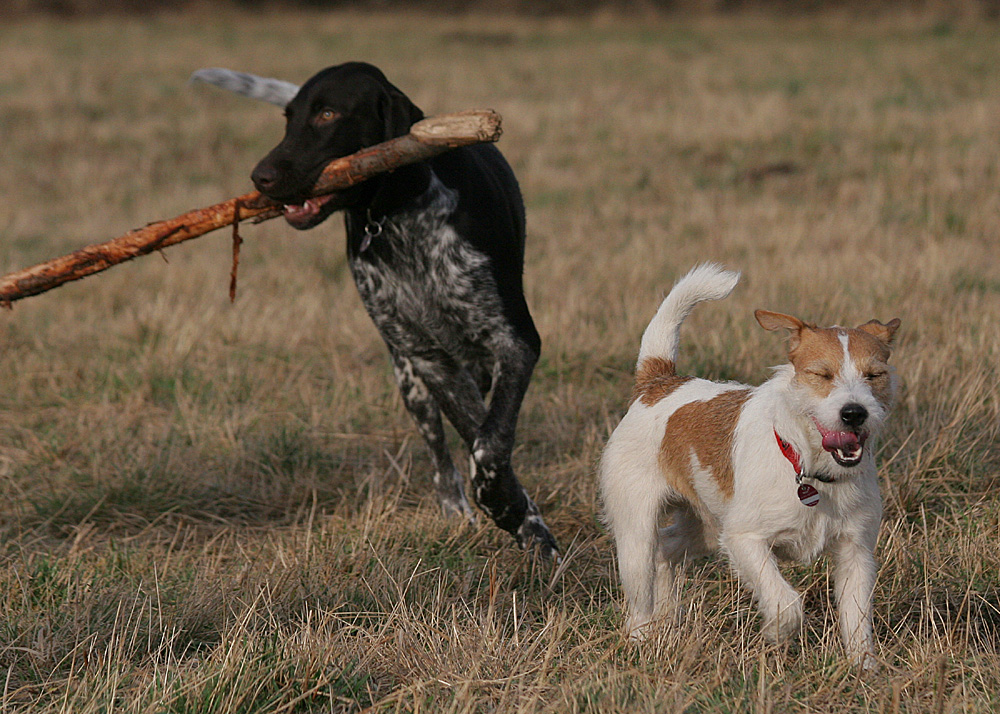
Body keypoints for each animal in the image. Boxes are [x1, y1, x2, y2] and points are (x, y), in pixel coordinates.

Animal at [191, 62, 560, 556]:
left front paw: (515, 513)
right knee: (441, 457)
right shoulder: (429, 360)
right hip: (410, 380)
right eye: (288, 117)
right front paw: (514, 512)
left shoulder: (514, 342)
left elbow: (491, 441)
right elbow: (476, 440)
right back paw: (457, 515)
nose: (259, 178)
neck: (399, 215)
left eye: (327, 114)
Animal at [596, 262, 904, 668]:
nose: (854, 413)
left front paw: (863, 668)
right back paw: (641, 637)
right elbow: (786, 602)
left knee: (666, 552)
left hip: (706, 526)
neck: (808, 468)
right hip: (638, 532)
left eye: (874, 375)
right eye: (822, 374)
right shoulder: (745, 540)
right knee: (640, 590)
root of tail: (658, 382)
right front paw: (775, 634)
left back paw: (666, 622)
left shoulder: (856, 552)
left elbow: (857, 620)